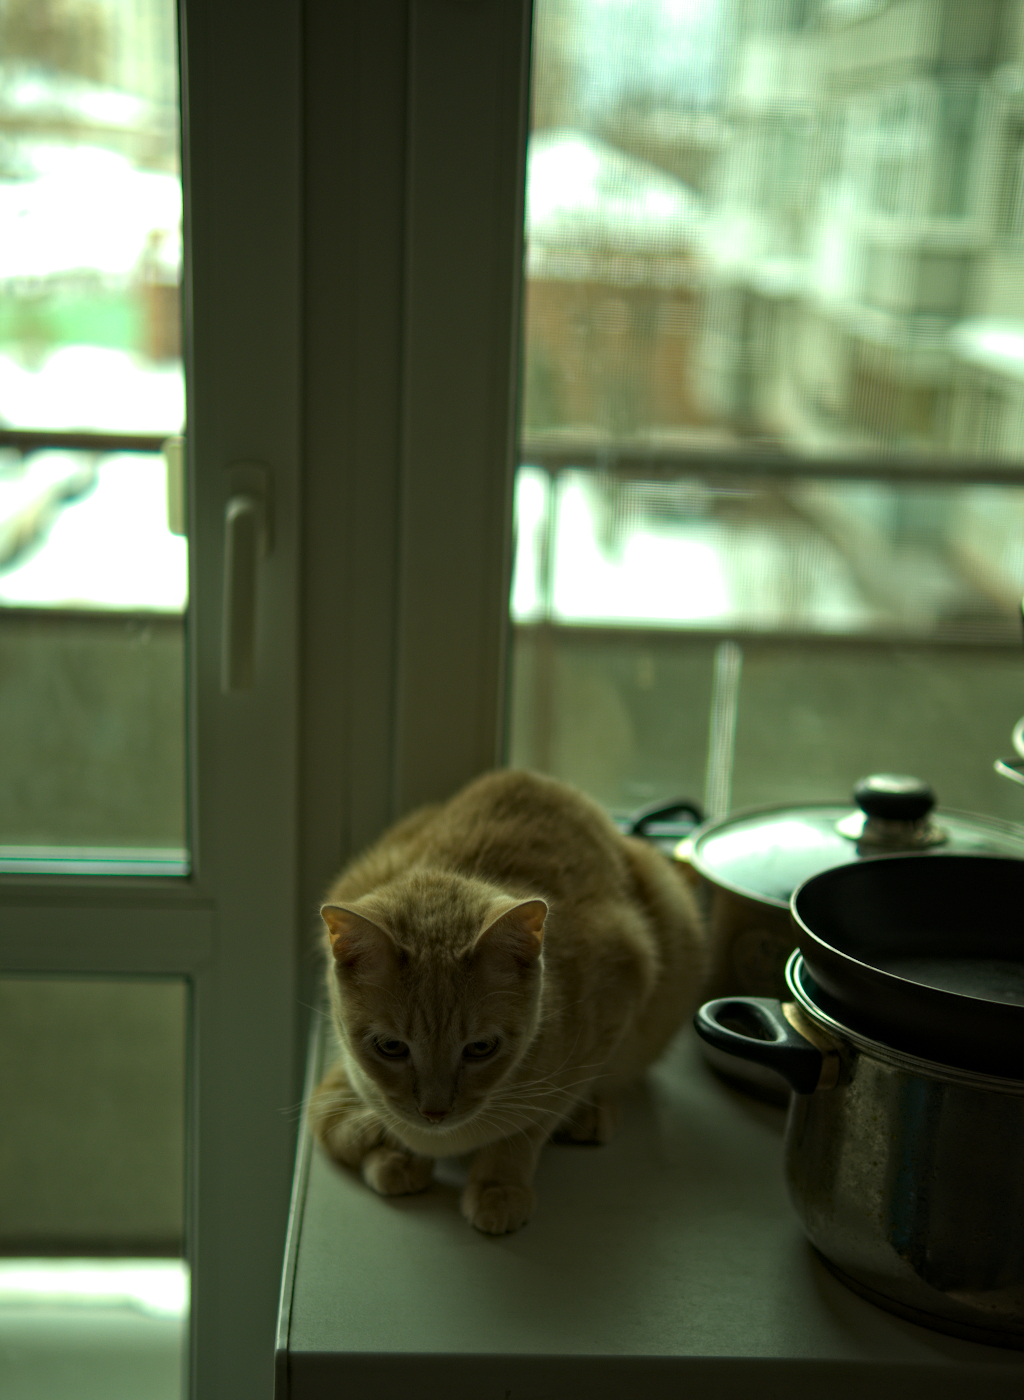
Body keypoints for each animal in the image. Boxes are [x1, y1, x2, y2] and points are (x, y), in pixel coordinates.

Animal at [309, 769, 706, 1234]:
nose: (434, 1113)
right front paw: (393, 1155)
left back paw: (589, 1114)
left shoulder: (620, 988)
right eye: (391, 1047)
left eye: (481, 1048)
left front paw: (499, 1185)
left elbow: (531, 1123)